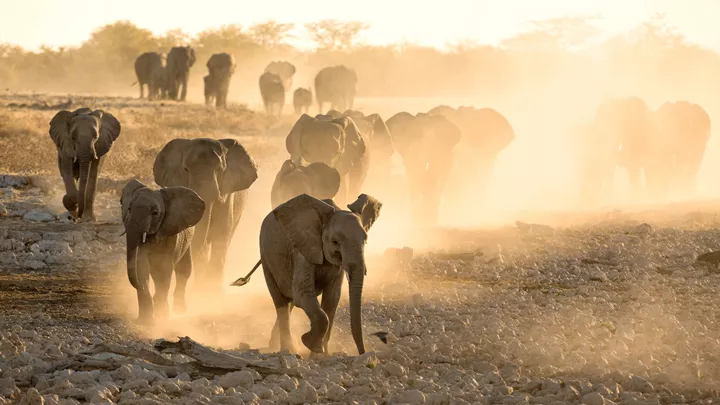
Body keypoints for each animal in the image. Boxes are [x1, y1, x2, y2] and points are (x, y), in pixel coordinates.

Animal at [120, 179, 205, 323]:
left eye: (155, 213)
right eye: (129, 209)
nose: (139, 286)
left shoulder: (170, 232)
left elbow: (164, 269)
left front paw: (161, 316)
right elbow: (141, 266)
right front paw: (145, 321)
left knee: (184, 269)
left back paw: (179, 310)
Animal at [257, 193, 382, 355]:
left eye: (365, 242)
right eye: (335, 242)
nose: (363, 352)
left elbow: (332, 298)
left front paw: (321, 354)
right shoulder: (304, 250)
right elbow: (303, 293)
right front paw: (309, 343)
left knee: (290, 302)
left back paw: (275, 345)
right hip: (266, 258)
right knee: (281, 303)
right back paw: (288, 350)